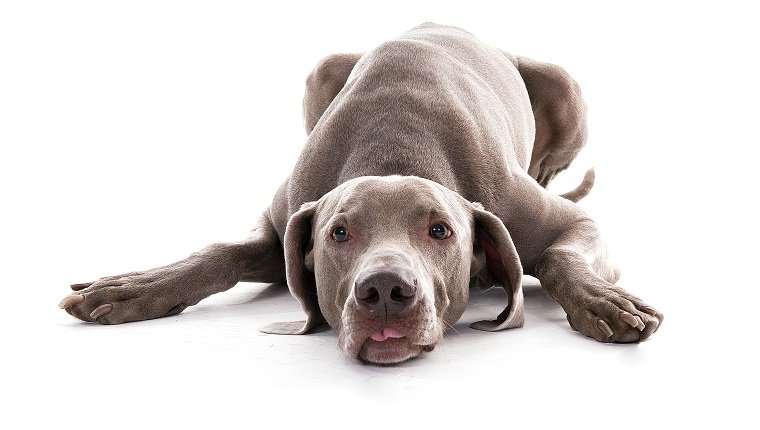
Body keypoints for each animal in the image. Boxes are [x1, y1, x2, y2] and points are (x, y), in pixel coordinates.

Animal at [59, 23, 664, 364]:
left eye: (440, 230)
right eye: (338, 233)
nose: (385, 291)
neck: (395, 152)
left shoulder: (555, 220)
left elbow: (562, 255)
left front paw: (605, 302)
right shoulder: (284, 220)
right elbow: (219, 253)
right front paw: (135, 287)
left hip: (563, 85)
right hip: (321, 72)